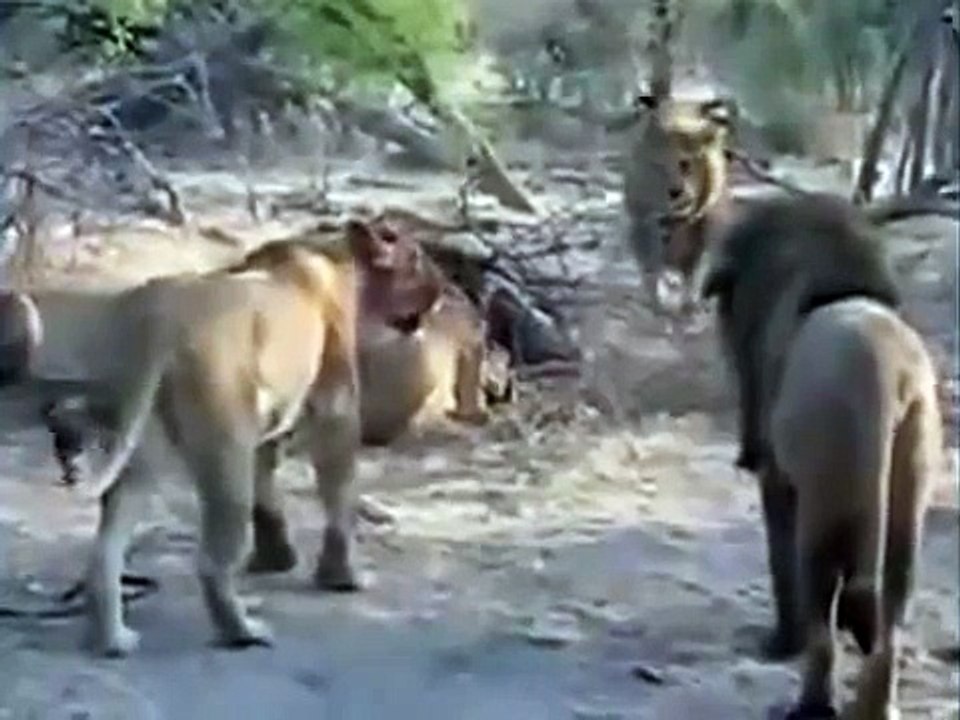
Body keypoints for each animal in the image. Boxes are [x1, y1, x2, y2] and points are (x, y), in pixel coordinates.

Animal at [17, 219, 443, 657]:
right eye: (417, 257)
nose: (441, 291)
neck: (335, 254)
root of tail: (160, 318)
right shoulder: (335, 410)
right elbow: (339, 494)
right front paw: (341, 576)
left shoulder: (267, 424)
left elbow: (268, 493)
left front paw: (276, 558)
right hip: (225, 446)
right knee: (211, 560)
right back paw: (242, 631)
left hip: (143, 449)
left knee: (105, 550)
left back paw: (113, 638)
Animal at [622, 92, 734, 313]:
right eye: (659, 166)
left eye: (685, 164)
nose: (676, 192)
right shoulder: (644, 221)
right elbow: (651, 267)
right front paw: (656, 301)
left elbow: (693, 270)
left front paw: (689, 302)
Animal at [702, 192, 942, 720]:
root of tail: (884, 372)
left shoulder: (778, 477)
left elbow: (779, 556)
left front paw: (778, 645)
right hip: (910, 480)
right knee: (893, 608)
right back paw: (875, 708)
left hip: (824, 502)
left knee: (821, 610)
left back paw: (811, 705)